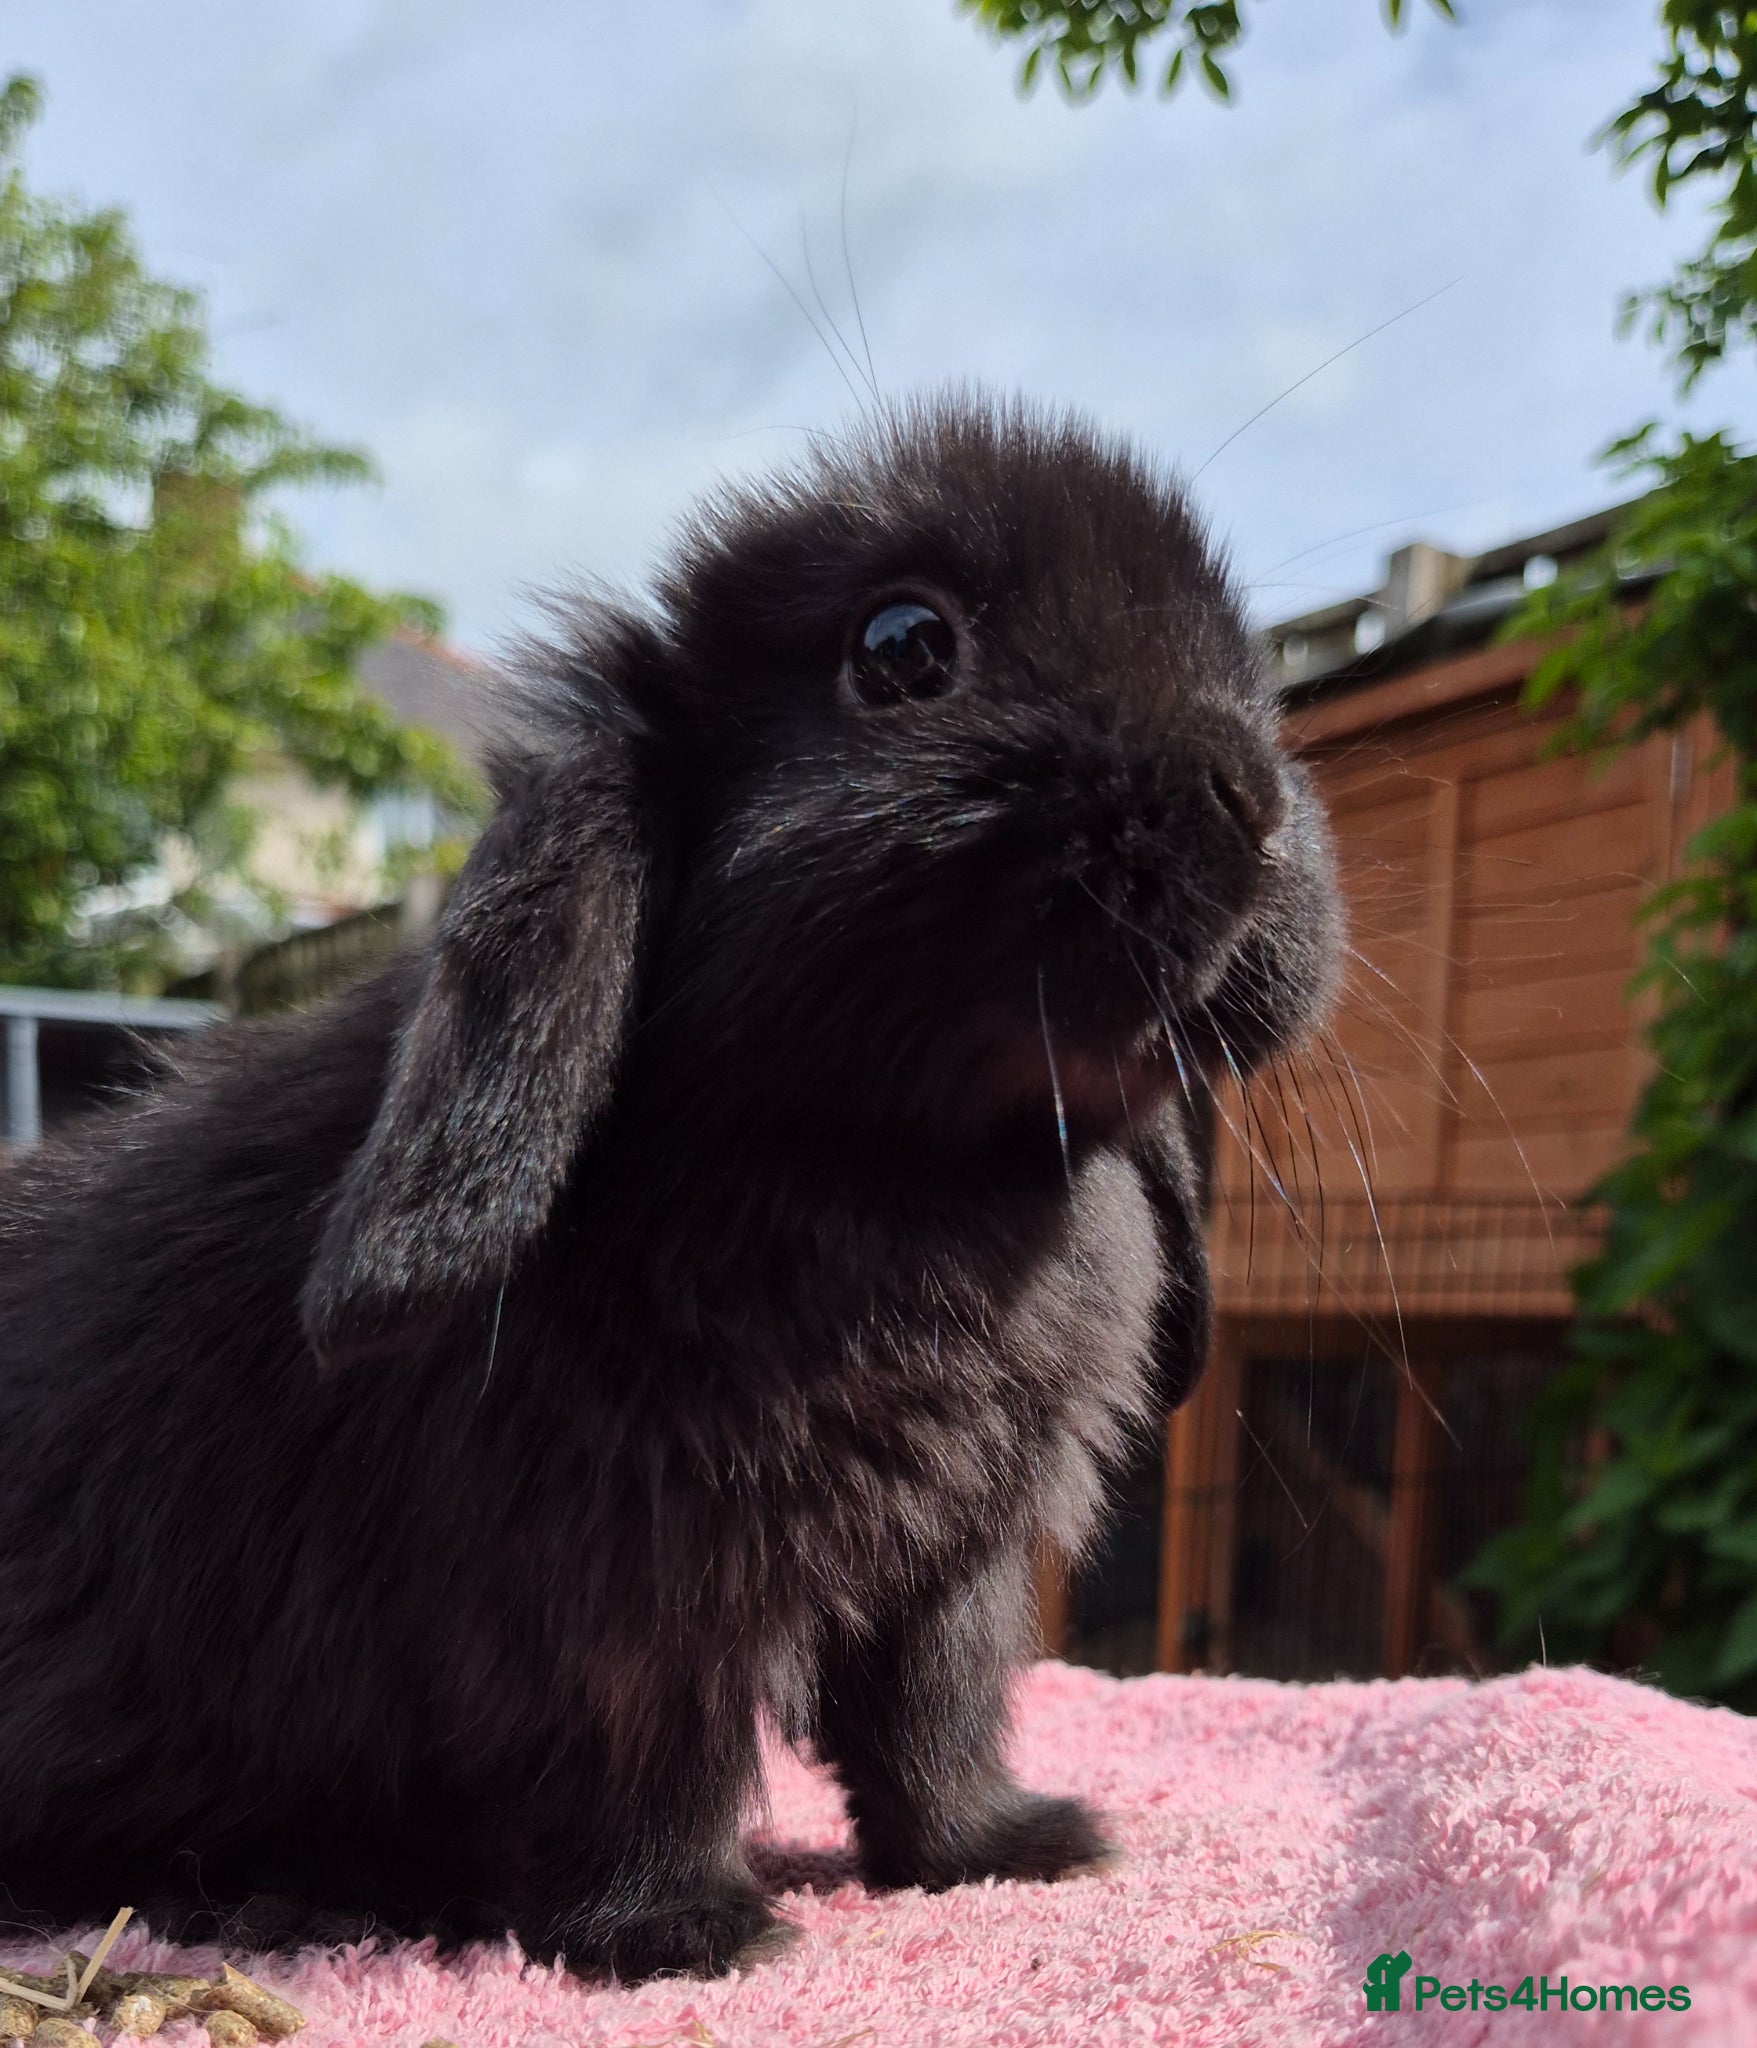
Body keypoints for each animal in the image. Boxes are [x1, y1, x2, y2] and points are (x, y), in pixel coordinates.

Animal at [0, 393, 1338, 1983]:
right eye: (903, 646)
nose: (1249, 804)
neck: (909, 1162)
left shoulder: (957, 1564)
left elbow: (935, 1718)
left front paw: (1013, 1850)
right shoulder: (623, 1587)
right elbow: (650, 1758)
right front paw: (688, 1933)